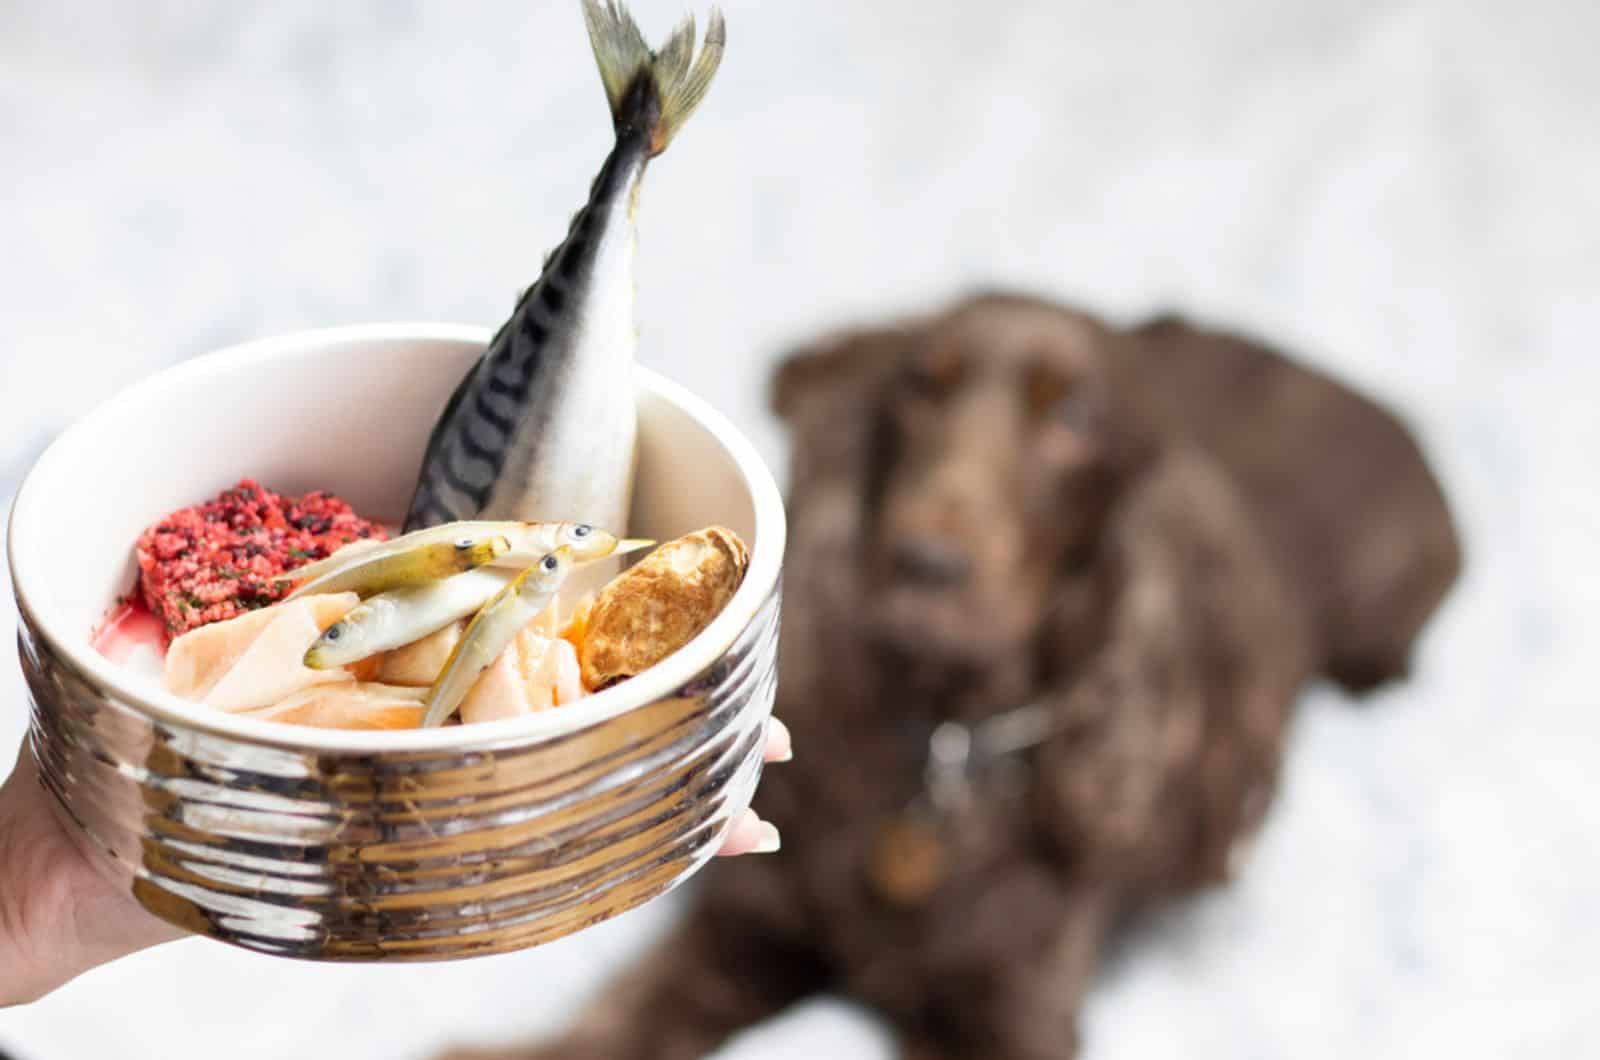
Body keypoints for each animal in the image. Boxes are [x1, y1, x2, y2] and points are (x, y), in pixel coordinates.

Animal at [441, 293, 1465, 1060]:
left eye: (1074, 422)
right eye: (921, 392)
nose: (923, 565)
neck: (943, 739)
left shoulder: (1011, 1009)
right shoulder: (752, 925)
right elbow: (635, 1014)